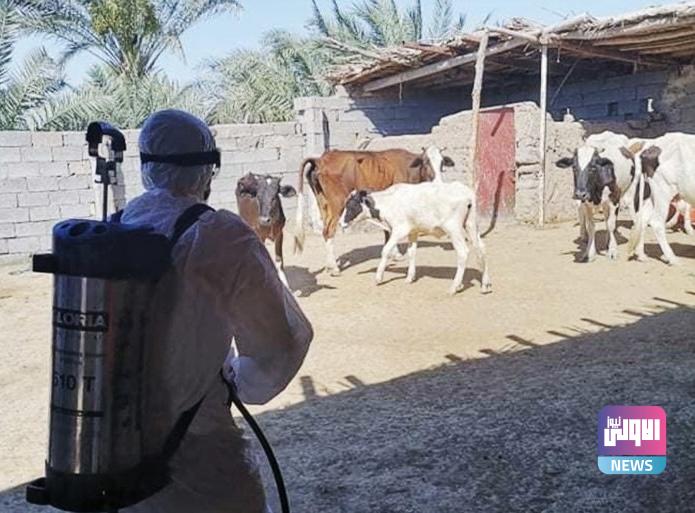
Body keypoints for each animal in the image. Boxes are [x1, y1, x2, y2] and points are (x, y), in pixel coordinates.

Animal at [293, 146, 454, 275]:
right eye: (426, 162)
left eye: (442, 163)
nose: (438, 183)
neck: (408, 167)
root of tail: (321, 159)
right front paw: (396, 253)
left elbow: (387, 229)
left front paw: (393, 253)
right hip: (337, 204)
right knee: (329, 231)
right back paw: (334, 268)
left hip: (323, 204)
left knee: (325, 231)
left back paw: (328, 266)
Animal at [339, 181, 491, 295]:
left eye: (351, 205)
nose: (340, 223)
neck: (388, 202)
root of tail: (467, 194)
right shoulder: (413, 232)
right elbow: (412, 252)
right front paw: (409, 277)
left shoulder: (399, 230)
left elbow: (386, 250)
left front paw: (378, 277)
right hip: (471, 224)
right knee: (481, 248)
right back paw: (485, 285)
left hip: (454, 229)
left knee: (463, 252)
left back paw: (455, 286)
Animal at [556, 132, 641, 262]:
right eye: (574, 167)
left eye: (593, 167)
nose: (580, 193)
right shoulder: (586, 202)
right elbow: (591, 226)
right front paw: (589, 253)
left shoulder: (614, 199)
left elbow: (611, 224)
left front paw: (612, 250)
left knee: (610, 220)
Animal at [628, 132, 695, 265]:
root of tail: (651, 146)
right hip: (663, 191)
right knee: (657, 222)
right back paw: (673, 259)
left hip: (653, 194)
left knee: (643, 218)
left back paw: (641, 255)